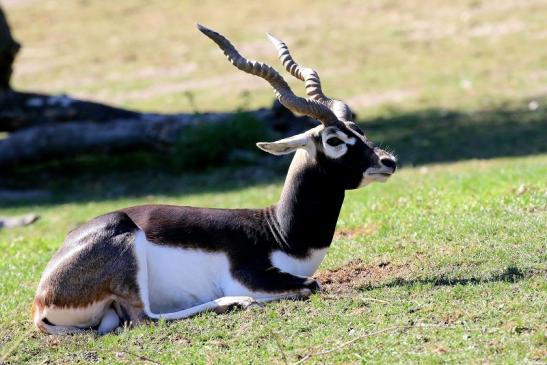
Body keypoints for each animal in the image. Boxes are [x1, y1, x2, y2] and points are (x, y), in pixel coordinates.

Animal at [31, 24, 398, 334]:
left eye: (359, 130)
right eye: (334, 140)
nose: (388, 161)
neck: (280, 233)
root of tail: (40, 301)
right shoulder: (253, 277)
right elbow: (313, 284)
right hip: (127, 244)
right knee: (143, 318)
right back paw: (233, 303)